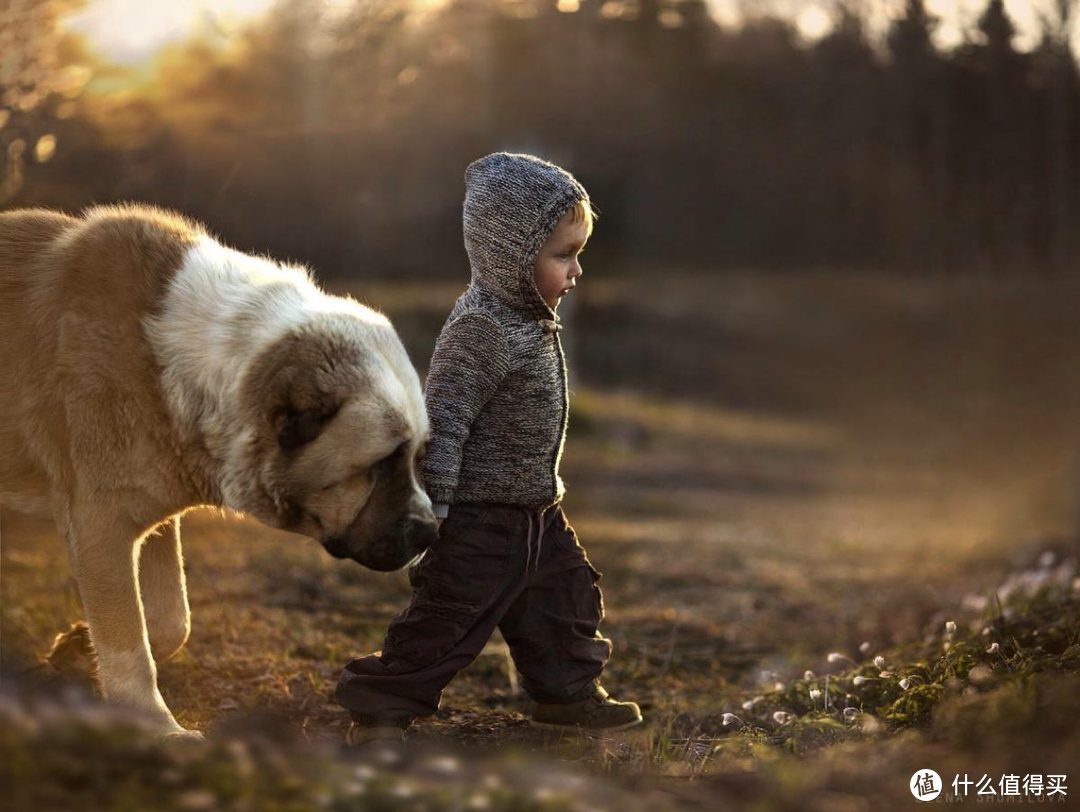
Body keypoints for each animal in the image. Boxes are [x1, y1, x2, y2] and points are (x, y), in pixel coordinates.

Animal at [1, 204, 438, 734]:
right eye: (382, 463)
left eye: (417, 456)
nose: (431, 532)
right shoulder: (98, 523)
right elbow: (129, 638)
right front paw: (157, 727)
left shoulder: (147, 516)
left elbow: (169, 619)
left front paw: (78, 647)